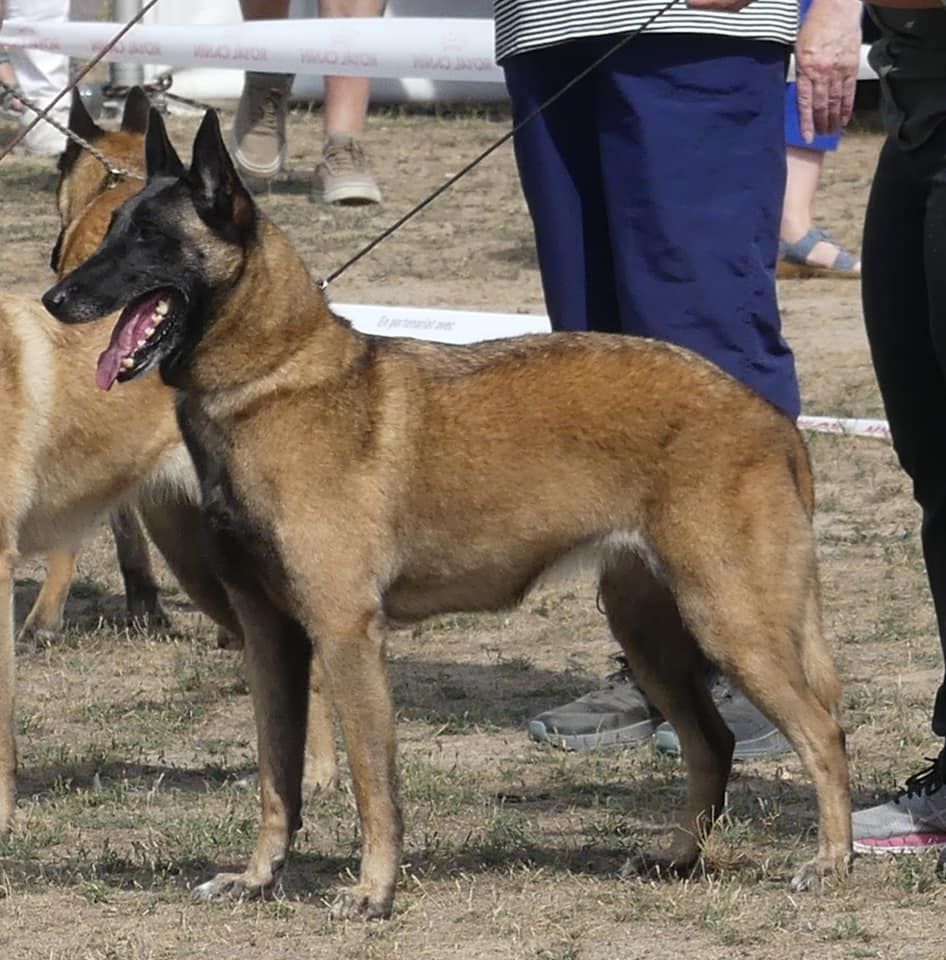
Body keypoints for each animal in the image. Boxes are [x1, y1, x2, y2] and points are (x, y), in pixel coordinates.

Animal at [43, 107, 853, 920]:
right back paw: (680, 857)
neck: (272, 377)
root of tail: (767, 415)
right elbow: (278, 781)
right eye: (111, 227)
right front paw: (258, 878)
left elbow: (372, 785)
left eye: (149, 238)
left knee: (822, 731)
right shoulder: (270, 636)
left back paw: (832, 859)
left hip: (730, 619)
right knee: (711, 743)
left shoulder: (345, 635)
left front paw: (373, 890)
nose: (55, 299)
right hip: (649, 630)